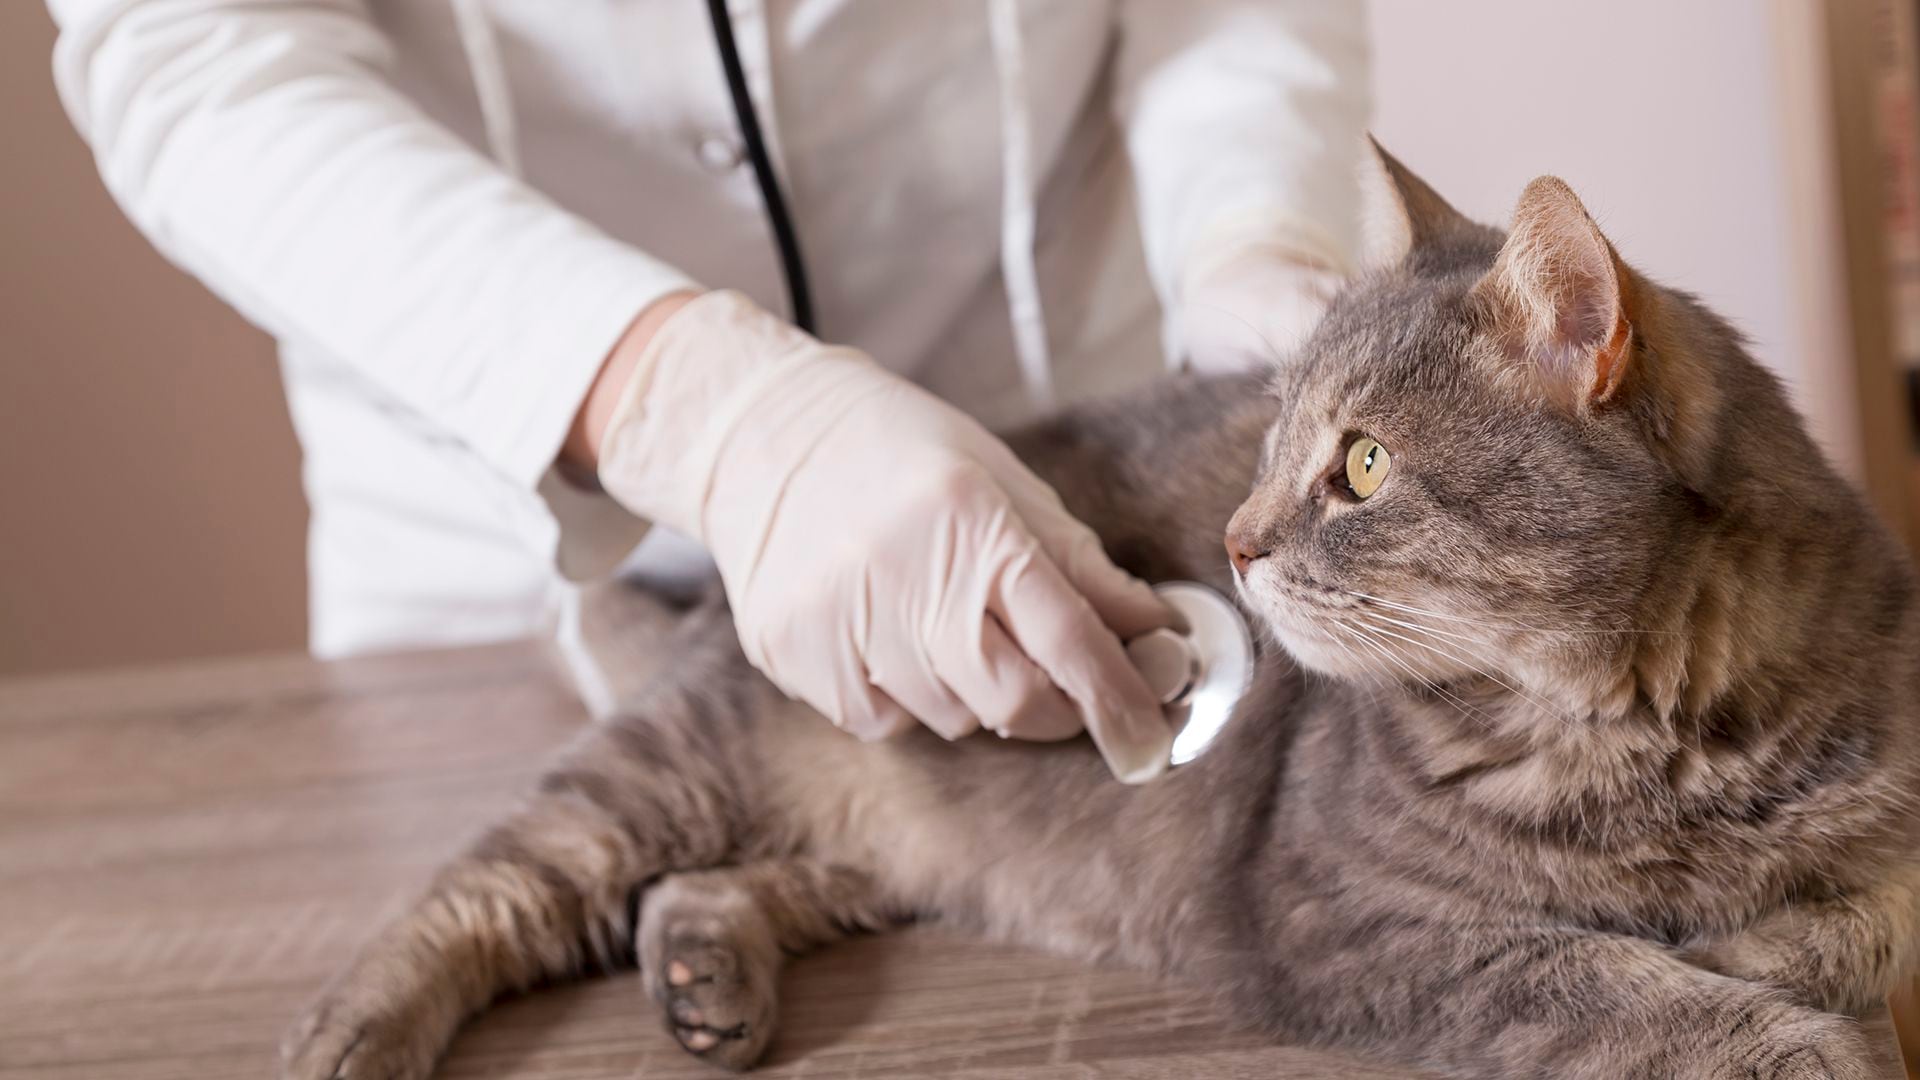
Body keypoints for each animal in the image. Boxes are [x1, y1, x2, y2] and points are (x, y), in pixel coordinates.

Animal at [278, 145, 1912, 1076]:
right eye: (1273, 441)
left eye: (1363, 465)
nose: (1237, 544)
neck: (1656, 746)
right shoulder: (1350, 916)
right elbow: (1613, 981)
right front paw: (1784, 1034)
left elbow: (1851, 924)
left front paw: (1774, 951)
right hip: (671, 768)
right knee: (487, 886)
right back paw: (348, 1032)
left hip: (893, 846)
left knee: (705, 887)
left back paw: (702, 976)